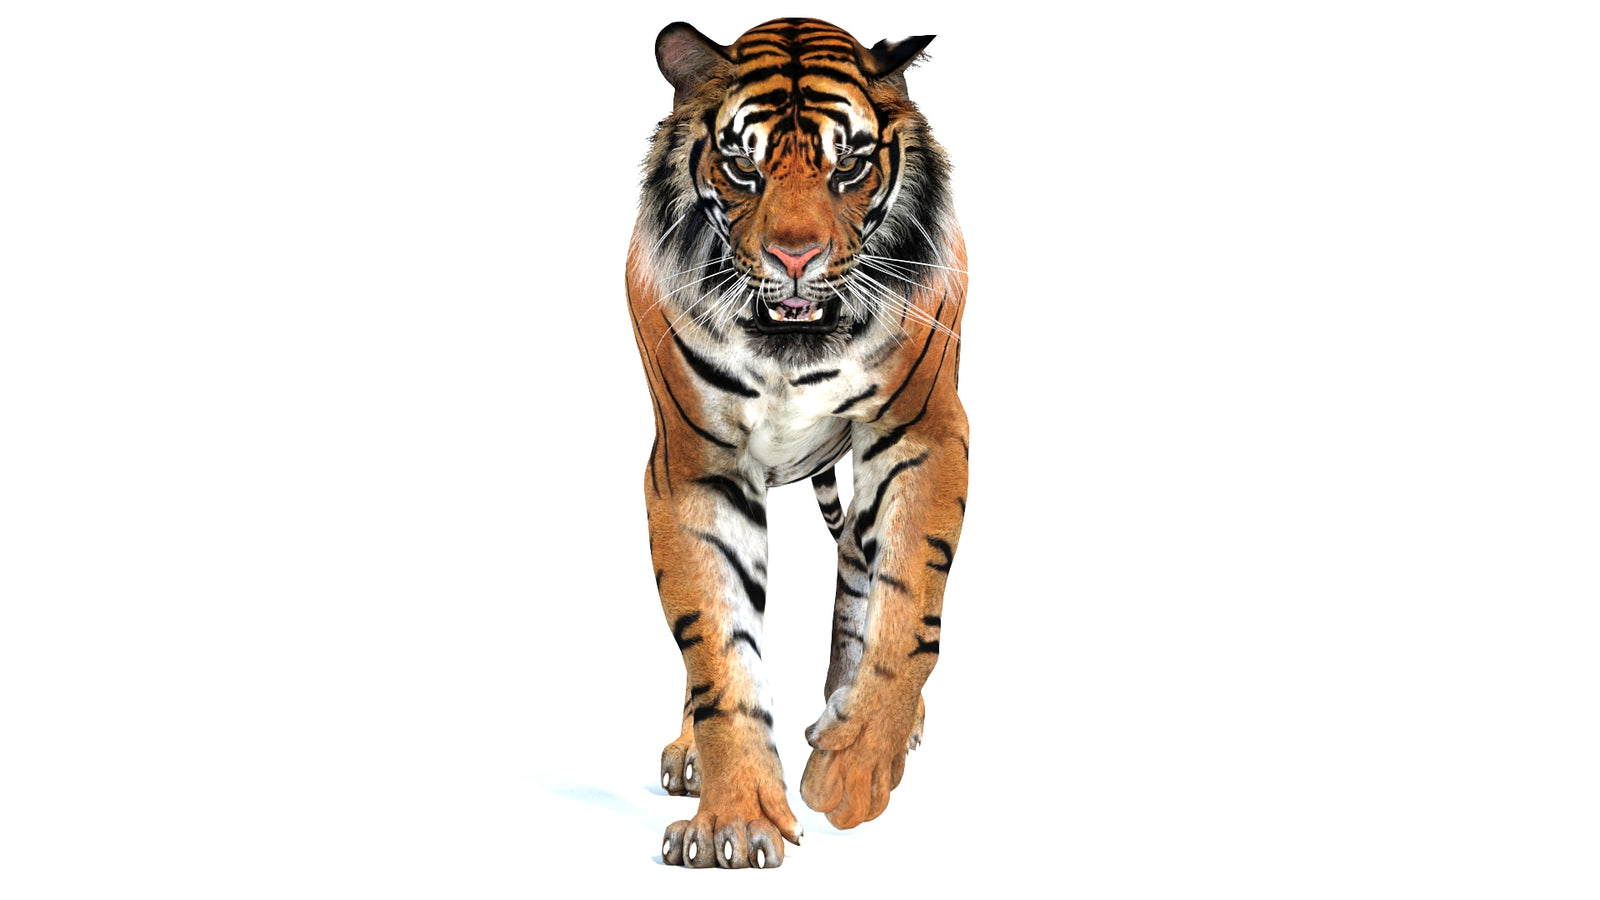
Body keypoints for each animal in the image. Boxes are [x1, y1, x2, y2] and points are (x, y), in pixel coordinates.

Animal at [625, 17, 968, 869]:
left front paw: (852, 770)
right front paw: (736, 821)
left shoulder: (924, 433)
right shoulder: (694, 466)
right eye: (743, 168)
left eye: (848, 166)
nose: (794, 257)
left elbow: (907, 613)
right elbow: (716, 651)